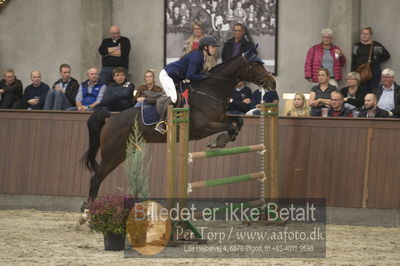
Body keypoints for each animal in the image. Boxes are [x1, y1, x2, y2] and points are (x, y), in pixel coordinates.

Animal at [81, 48, 276, 210]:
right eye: (256, 65)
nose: (272, 83)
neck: (210, 92)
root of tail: (111, 117)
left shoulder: (220, 117)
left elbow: (238, 121)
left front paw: (226, 139)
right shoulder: (202, 128)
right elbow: (229, 126)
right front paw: (220, 141)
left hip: (122, 153)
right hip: (112, 154)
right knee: (95, 178)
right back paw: (87, 212)